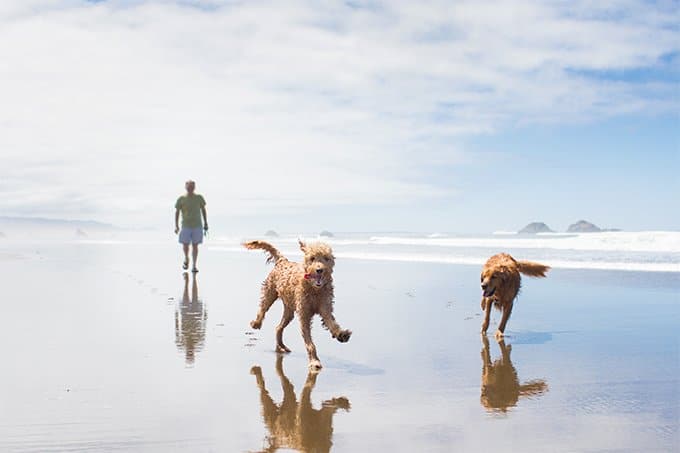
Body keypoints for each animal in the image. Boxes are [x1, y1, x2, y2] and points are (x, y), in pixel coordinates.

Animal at [243, 238, 350, 370]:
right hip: (270, 291)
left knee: (279, 327)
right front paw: (314, 361)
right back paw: (256, 323)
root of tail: (283, 260)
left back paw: (281, 347)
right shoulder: (304, 315)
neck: (314, 290)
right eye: (312, 258)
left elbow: (332, 323)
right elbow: (309, 343)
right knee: (263, 307)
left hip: (289, 310)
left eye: (326, 258)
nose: (320, 270)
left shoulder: (325, 308)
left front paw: (341, 334)